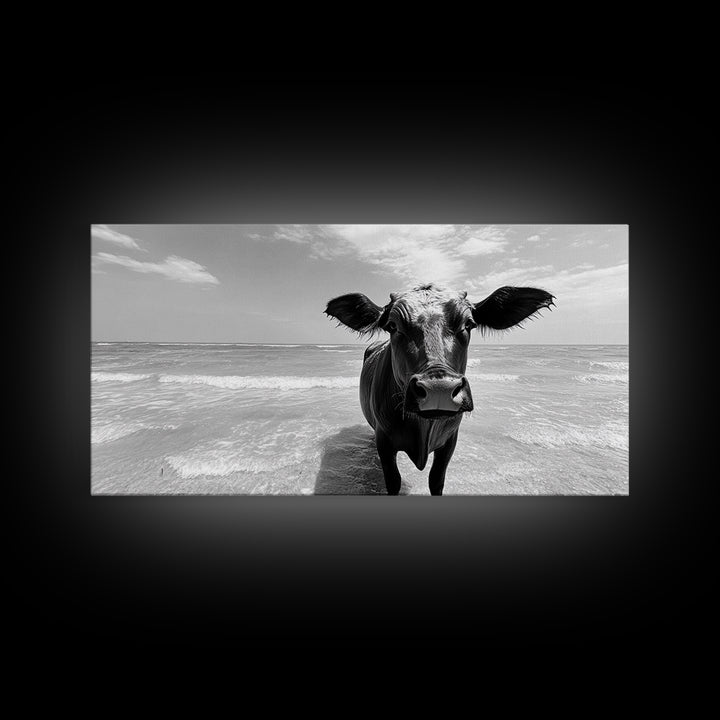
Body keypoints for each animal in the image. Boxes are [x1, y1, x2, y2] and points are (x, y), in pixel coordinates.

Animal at [325, 283, 554, 495]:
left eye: (468, 324)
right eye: (392, 325)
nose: (439, 389)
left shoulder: (450, 441)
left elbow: (436, 479)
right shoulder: (385, 442)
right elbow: (393, 482)